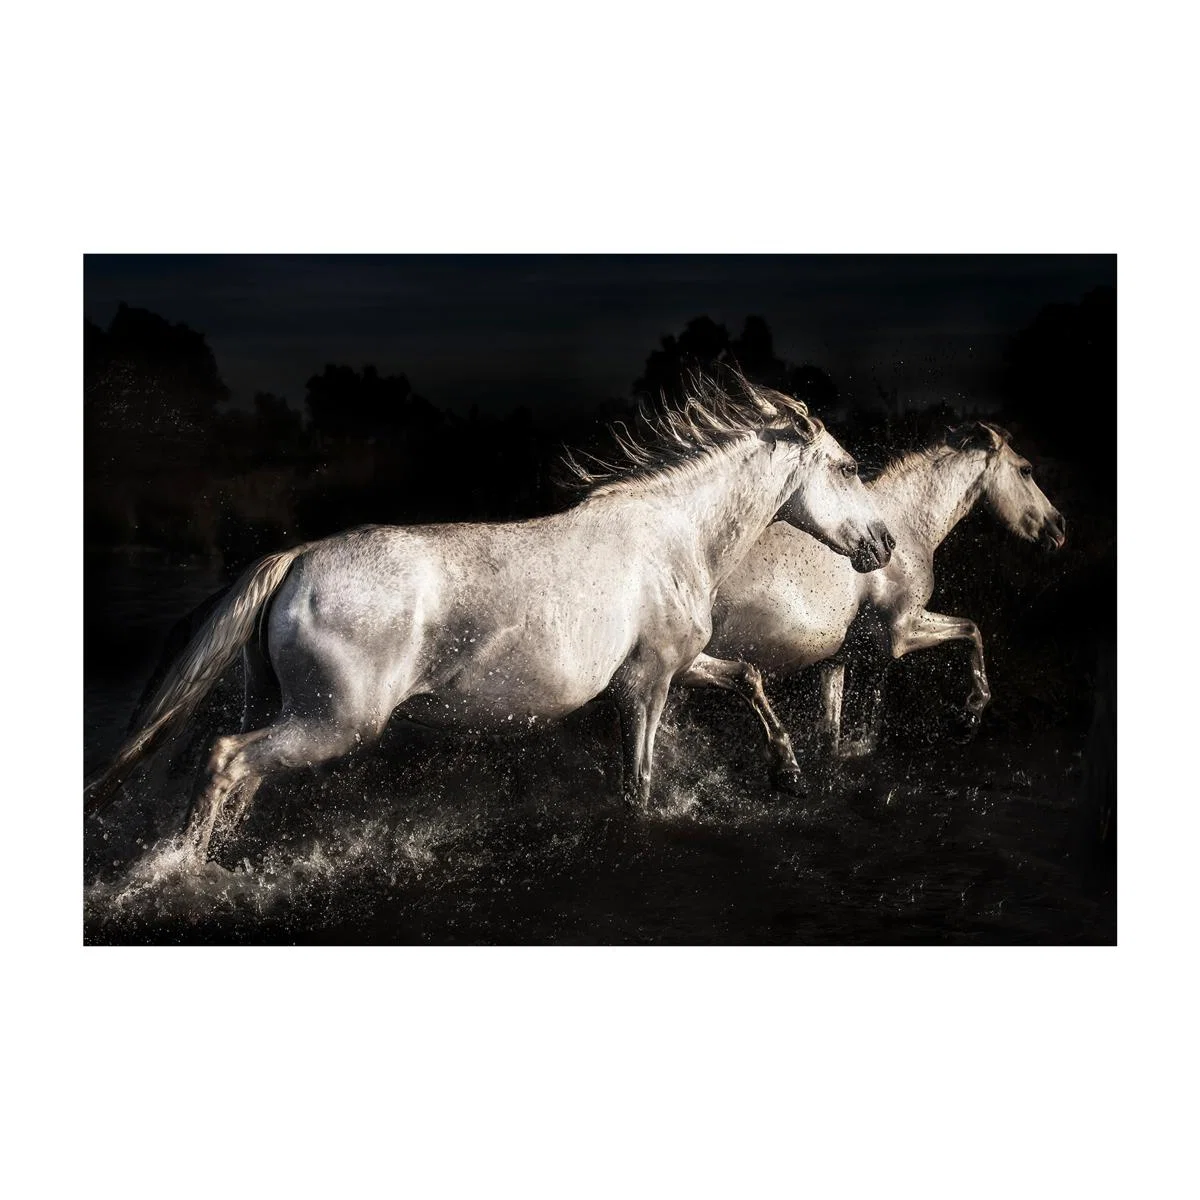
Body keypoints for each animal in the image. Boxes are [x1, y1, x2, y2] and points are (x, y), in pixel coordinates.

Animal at [84, 376, 894, 864]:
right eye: (849, 468)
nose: (882, 545)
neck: (675, 535)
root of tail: (298, 558)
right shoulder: (650, 681)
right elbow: (638, 780)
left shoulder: (676, 662)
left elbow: (750, 677)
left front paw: (787, 771)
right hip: (335, 722)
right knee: (226, 759)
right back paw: (182, 870)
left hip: (293, 713)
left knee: (241, 777)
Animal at [705, 421, 1065, 758]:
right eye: (1026, 470)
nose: (1058, 526)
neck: (905, 526)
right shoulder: (902, 632)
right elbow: (972, 630)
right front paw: (969, 717)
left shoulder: (835, 660)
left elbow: (832, 738)